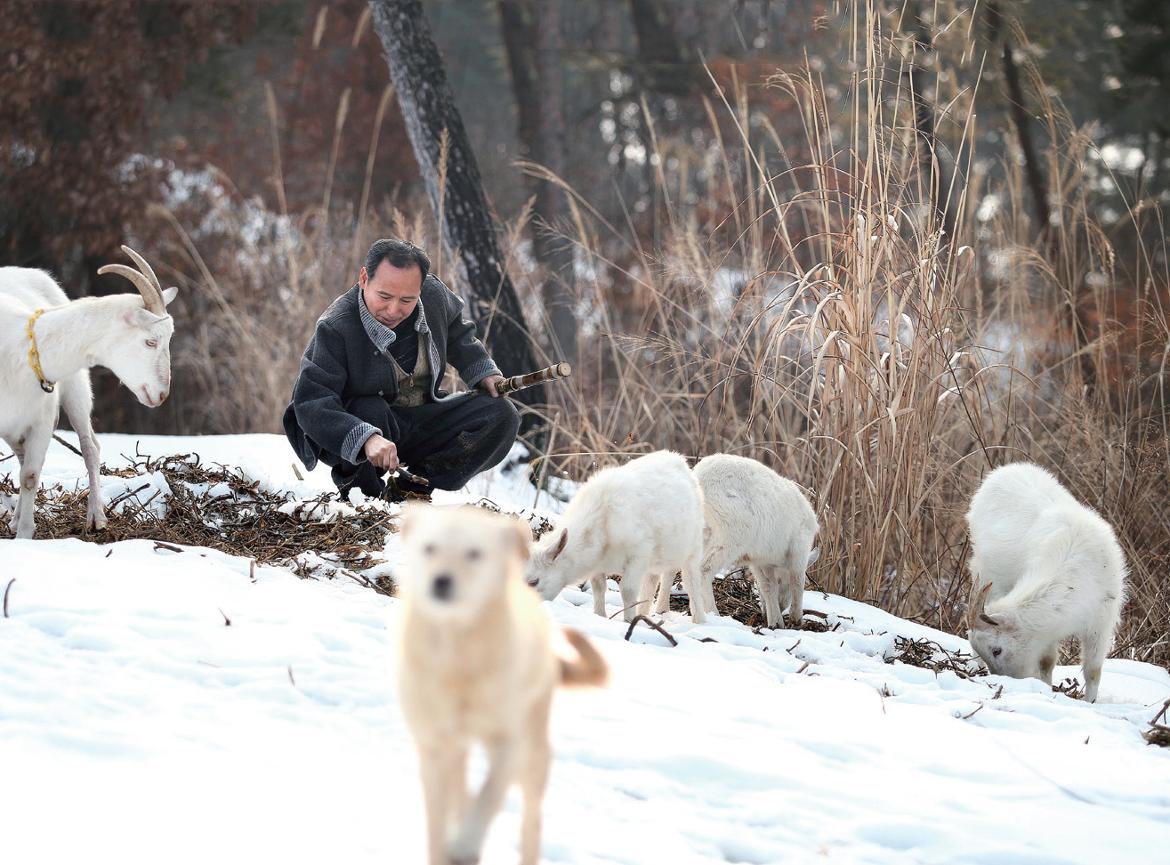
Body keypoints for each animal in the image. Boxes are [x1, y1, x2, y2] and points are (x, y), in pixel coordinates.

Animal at [0, 246, 177, 538]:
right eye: (150, 341)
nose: (161, 394)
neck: (21, 345)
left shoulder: (41, 422)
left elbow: (30, 476)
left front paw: (25, 536)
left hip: (76, 386)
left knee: (89, 447)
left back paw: (96, 517)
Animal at [526, 454, 706, 622]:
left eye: (534, 581)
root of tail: (678, 459)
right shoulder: (597, 564)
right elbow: (599, 587)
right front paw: (600, 615)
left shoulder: (639, 554)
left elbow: (627, 590)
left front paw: (629, 621)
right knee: (656, 577)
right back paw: (647, 613)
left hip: (693, 546)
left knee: (689, 580)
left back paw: (698, 619)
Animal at [687, 454, 819, 627]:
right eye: (783, 582)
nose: (782, 605)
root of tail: (699, 479)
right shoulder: (799, 548)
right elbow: (797, 581)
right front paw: (796, 619)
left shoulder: (759, 561)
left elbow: (767, 587)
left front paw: (775, 622)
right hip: (731, 535)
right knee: (703, 569)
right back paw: (712, 614)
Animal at [964, 463, 1127, 702]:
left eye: (997, 650)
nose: (1007, 682)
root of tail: (1003, 471)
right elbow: (1046, 662)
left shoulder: (1102, 622)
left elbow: (1093, 670)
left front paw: (1090, 703)